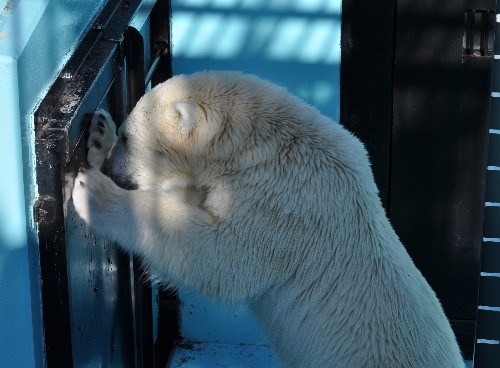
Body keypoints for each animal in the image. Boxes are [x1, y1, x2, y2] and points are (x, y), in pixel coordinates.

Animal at [72, 70, 462, 366]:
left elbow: (219, 258)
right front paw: (98, 134)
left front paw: (93, 191)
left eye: (129, 138)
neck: (258, 145)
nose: (113, 170)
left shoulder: (283, 203)